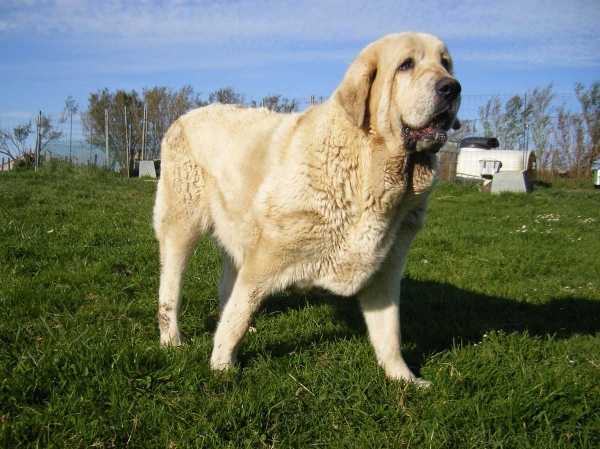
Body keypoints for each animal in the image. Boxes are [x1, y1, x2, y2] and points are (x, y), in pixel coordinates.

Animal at [154, 31, 460, 384]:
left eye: (445, 63)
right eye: (406, 65)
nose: (452, 87)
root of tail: (184, 116)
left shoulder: (385, 273)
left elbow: (389, 334)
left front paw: (403, 378)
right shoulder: (263, 263)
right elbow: (237, 319)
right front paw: (222, 366)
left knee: (225, 286)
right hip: (183, 228)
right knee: (171, 289)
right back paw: (171, 339)